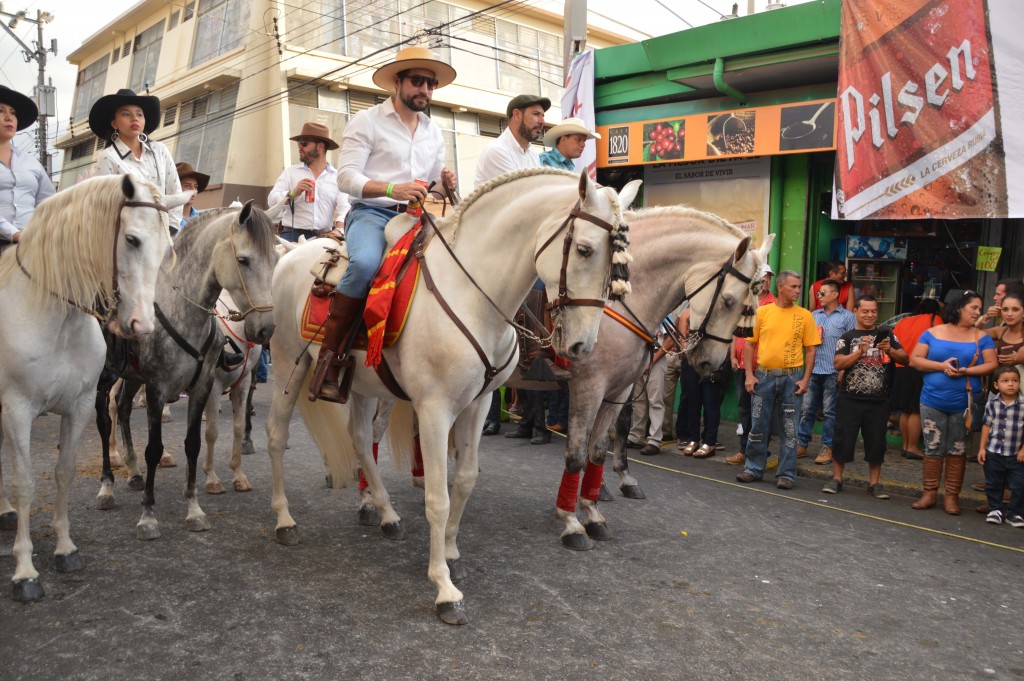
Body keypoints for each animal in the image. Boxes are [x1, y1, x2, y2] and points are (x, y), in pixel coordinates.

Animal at [0, 175, 178, 602]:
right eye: (131, 239)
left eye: (167, 248)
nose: (142, 325)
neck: (55, 318)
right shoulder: (17, 411)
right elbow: (25, 483)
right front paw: (25, 571)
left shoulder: (78, 407)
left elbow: (63, 472)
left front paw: (65, 549)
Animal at [268, 168, 634, 622]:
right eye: (584, 249)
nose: (583, 347)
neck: (474, 295)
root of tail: (291, 252)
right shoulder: (434, 410)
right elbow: (437, 497)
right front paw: (443, 586)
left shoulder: (478, 404)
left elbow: (464, 479)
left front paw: (450, 551)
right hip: (289, 363)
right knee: (277, 436)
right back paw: (284, 520)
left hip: (363, 384)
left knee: (360, 440)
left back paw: (386, 513)